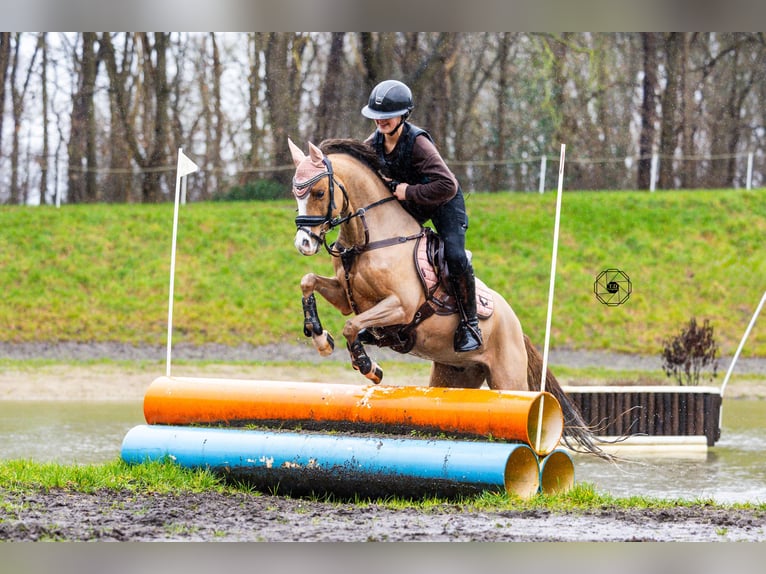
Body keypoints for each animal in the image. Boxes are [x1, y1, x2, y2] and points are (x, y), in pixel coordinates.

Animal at [288, 137, 608, 457]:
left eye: (319, 192)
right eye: (295, 192)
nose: (304, 243)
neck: (369, 239)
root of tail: (518, 328)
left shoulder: (401, 307)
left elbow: (351, 326)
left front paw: (369, 366)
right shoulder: (346, 298)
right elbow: (308, 282)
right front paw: (319, 337)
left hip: (508, 377)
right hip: (454, 374)